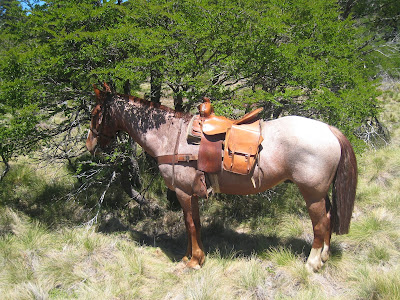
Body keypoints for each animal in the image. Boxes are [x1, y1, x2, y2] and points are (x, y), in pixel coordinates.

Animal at [86, 82, 356, 272]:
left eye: (97, 112)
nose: (90, 145)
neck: (171, 136)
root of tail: (328, 129)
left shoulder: (183, 192)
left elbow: (190, 224)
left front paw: (194, 261)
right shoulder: (192, 193)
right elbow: (193, 224)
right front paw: (190, 256)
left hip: (311, 193)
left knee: (320, 224)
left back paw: (313, 263)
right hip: (320, 193)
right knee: (329, 217)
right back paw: (324, 256)